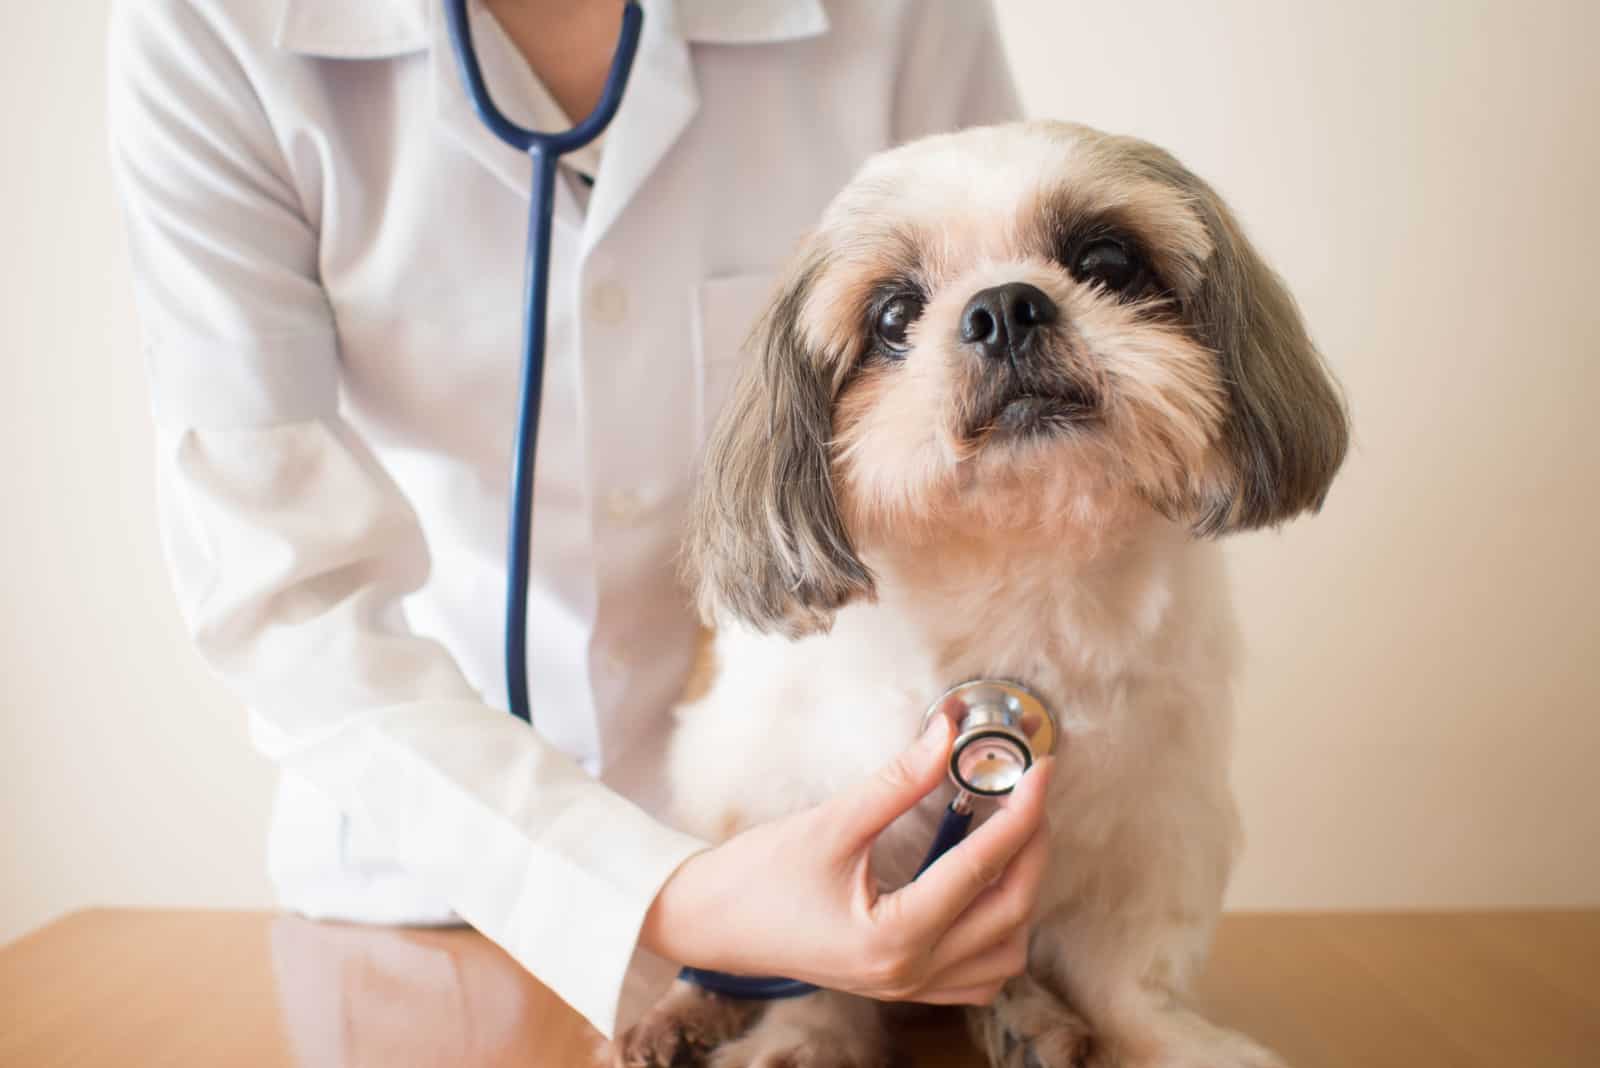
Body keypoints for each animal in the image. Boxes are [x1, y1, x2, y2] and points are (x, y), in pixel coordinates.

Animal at [620, 119, 1337, 1068]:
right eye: (893, 316)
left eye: (1107, 260)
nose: (1004, 308)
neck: (1019, 566)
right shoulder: (798, 811)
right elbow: (815, 969)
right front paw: (805, 1041)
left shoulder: (1155, 822)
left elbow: (1130, 974)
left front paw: (1171, 1041)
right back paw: (686, 1014)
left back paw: (1029, 1019)